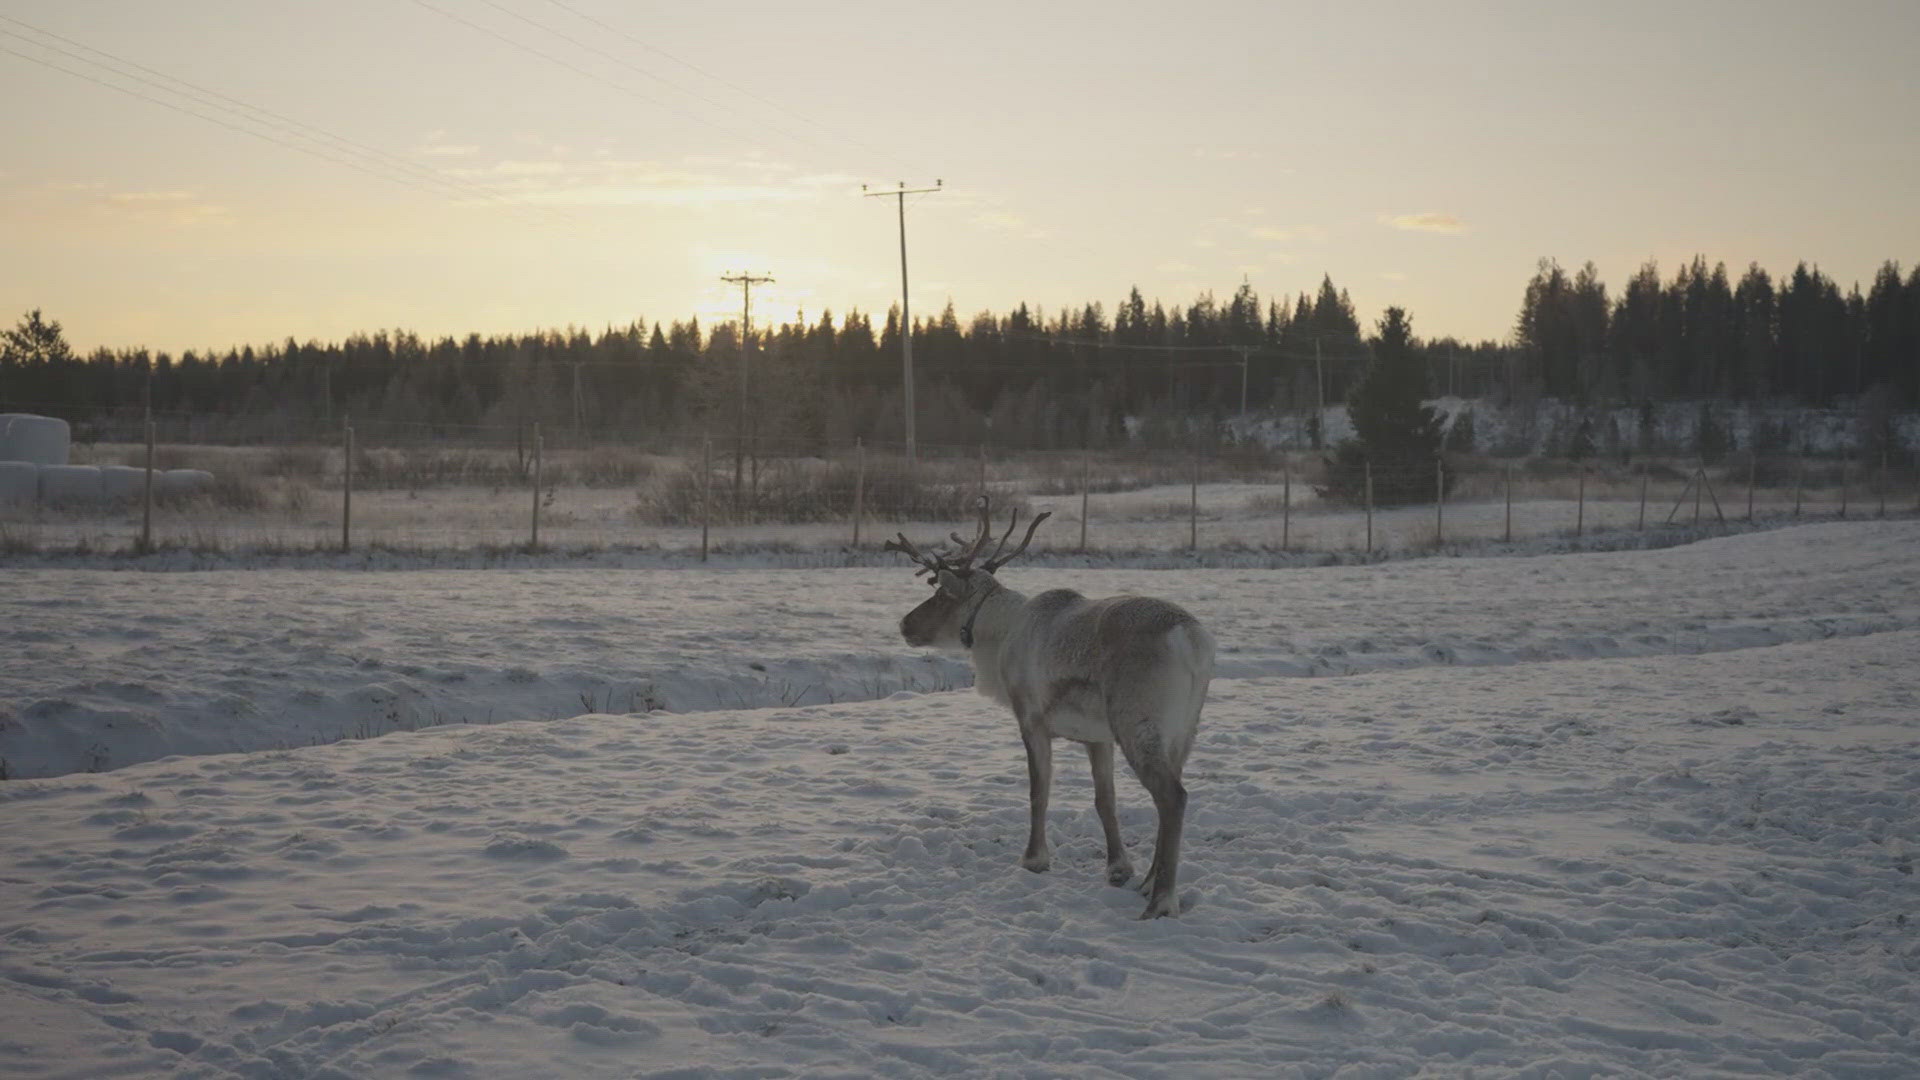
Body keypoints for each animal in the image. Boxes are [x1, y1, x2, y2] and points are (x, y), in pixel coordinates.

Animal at [886, 497, 1214, 918]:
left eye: (942, 596)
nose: (904, 624)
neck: (999, 637)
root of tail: (1191, 640)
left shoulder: (1031, 720)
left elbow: (1038, 791)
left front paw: (1034, 859)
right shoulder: (1097, 737)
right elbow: (1104, 800)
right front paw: (1119, 868)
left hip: (1138, 725)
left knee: (1173, 797)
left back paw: (1161, 902)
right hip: (1183, 731)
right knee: (1169, 795)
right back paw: (1147, 883)